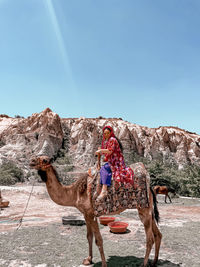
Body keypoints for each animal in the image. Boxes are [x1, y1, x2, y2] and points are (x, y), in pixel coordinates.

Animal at [29, 155, 162, 267]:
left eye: (44, 160)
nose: (31, 161)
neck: (75, 193)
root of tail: (150, 186)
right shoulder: (86, 214)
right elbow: (89, 236)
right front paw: (88, 259)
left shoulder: (91, 214)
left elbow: (99, 240)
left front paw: (103, 264)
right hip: (148, 210)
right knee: (158, 234)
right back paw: (154, 262)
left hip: (143, 210)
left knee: (150, 238)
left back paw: (144, 264)